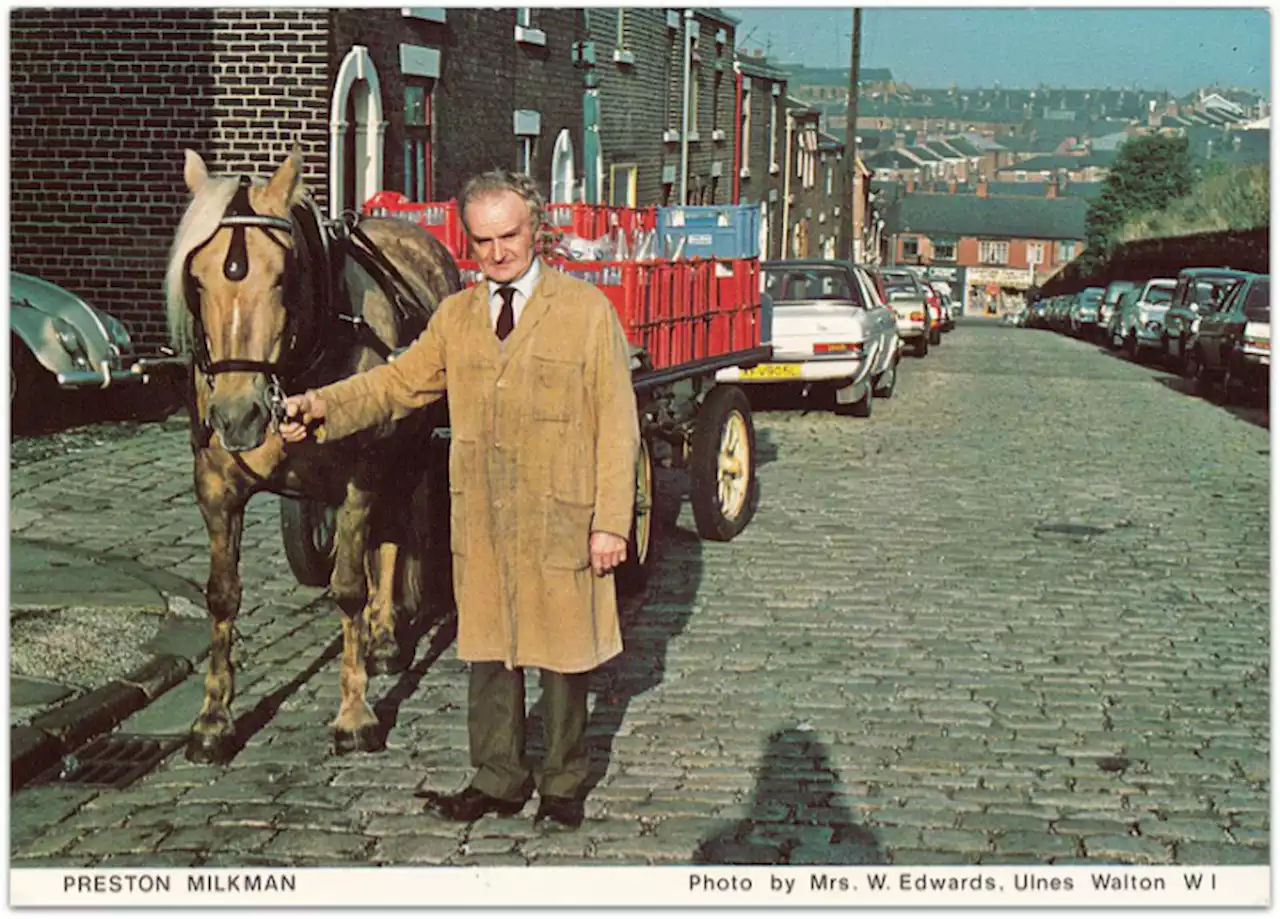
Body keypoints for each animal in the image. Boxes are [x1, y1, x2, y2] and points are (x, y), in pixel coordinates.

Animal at [162, 145, 458, 762]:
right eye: (196, 279)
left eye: (284, 274)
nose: (237, 414)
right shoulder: (215, 487)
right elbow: (222, 596)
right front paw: (213, 720)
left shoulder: (357, 478)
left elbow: (347, 588)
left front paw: (355, 715)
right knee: (388, 532)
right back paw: (383, 637)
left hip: (407, 451)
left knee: (397, 530)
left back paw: (384, 638)